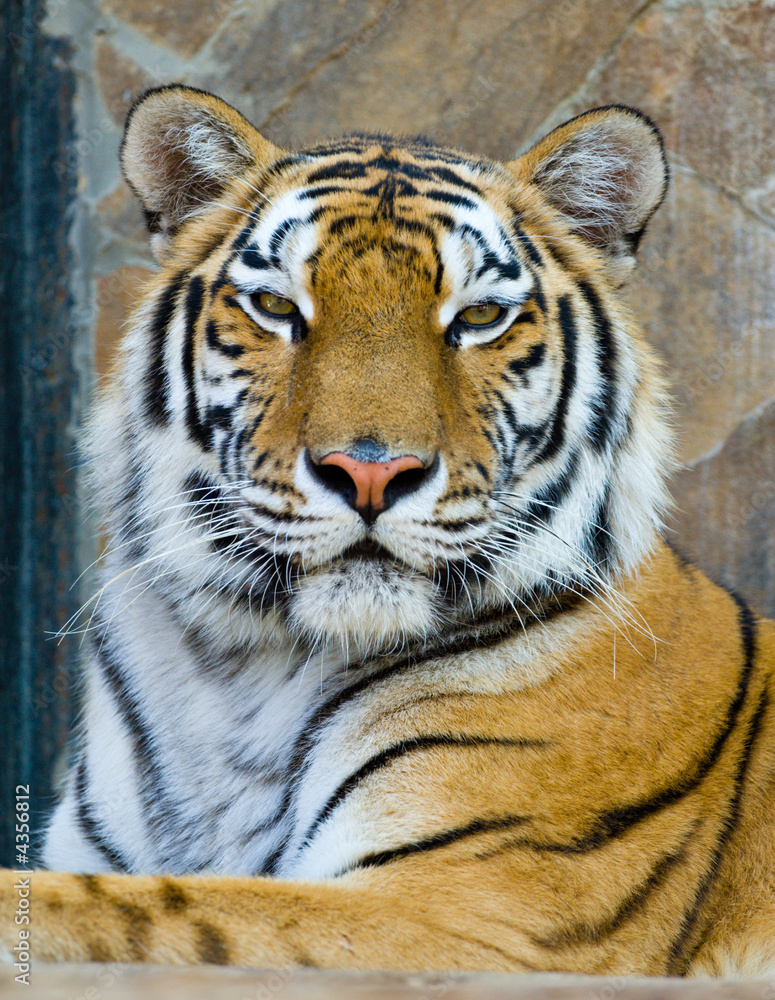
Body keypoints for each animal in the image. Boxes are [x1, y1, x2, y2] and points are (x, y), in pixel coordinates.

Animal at [1, 84, 773, 979]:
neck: (236, 675)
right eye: (276, 307)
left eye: (479, 317)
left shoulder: (469, 912)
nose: (370, 473)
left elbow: (138, 909)